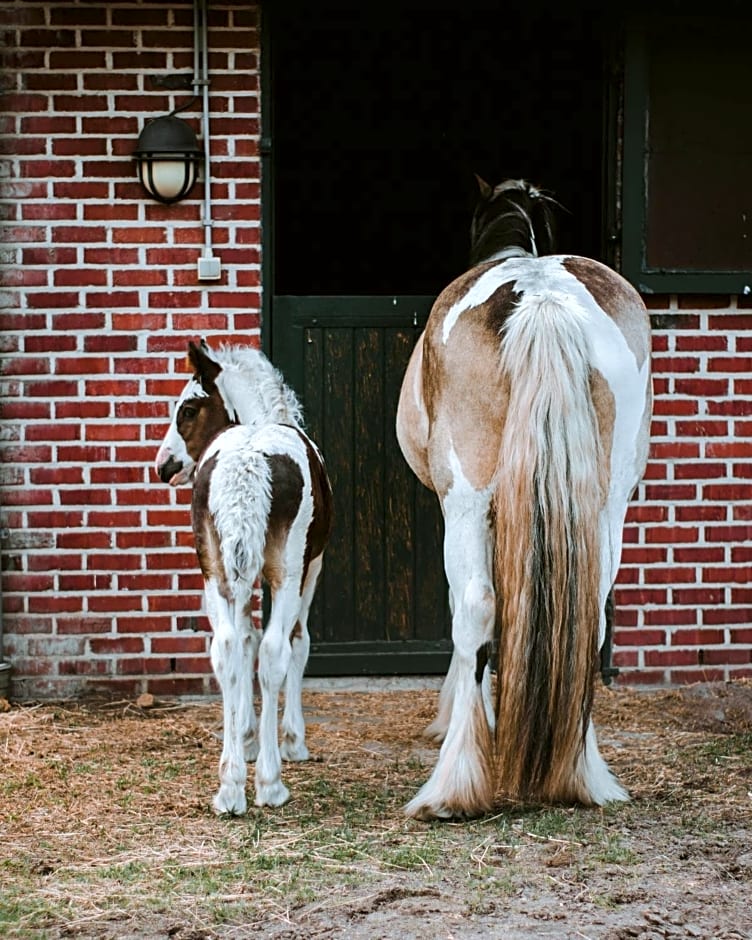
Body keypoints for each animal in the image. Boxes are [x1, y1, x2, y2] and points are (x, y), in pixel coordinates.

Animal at [156, 342, 332, 812]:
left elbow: (245, 641)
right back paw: (270, 784)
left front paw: (248, 739)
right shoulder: (312, 566)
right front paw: (292, 741)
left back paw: (231, 785)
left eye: (188, 409)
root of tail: (248, 461)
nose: (164, 466)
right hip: (287, 571)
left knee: (227, 650)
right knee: (273, 651)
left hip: (215, 571)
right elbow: (296, 642)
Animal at [400, 178, 652, 824]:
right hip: (607, 505)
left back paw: (454, 786)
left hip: (466, 502)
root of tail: (540, 293)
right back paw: (581, 774)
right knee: (587, 616)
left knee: (475, 608)